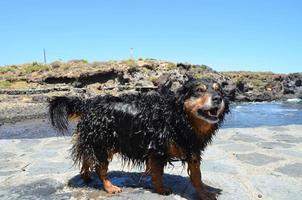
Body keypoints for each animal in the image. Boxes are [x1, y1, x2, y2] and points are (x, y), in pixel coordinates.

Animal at [49, 77, 229, 199]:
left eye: (219, 90)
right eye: (199, 90)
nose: (218, 99)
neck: (180, 118)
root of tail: (89, 103)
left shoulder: (193, 149)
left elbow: (197, 176)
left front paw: (204, 193)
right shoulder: (157, 149)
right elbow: (158, 174)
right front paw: (161, 189)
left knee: (87, 158)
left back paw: (86, 177)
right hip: (102, 142)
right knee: (100, 168)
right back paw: (110, 187)